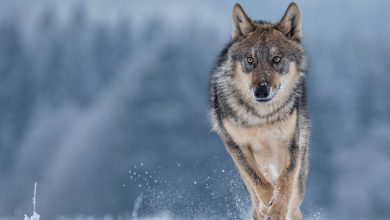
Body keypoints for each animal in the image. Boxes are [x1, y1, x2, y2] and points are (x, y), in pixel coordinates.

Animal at [209, 2, 310, 220]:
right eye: (250, 60)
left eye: (276, 59)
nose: (261, 91)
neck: (261, 118)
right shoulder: (236, 146)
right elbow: (258, 181)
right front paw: (268, 205)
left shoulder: (290, 145)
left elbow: (285, 183)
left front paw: (277, 210)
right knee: (255, 194)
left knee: (294, 202)